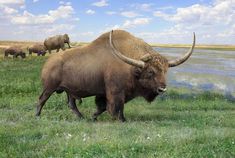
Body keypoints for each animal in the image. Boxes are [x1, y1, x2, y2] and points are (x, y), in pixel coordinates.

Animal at [36, 29, 195, 121]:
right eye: (151, 71)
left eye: (165, 71)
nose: (162, 88)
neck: (133, 68)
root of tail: (49, 61)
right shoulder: (116, 92)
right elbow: (114, 107)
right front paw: (120, 120)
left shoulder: (113, 94)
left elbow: (105, 107)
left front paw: (94, 117)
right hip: (49, 88)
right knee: (41, 99)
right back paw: (37, 116)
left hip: (69, 91)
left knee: (71, 104)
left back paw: (82, 117)